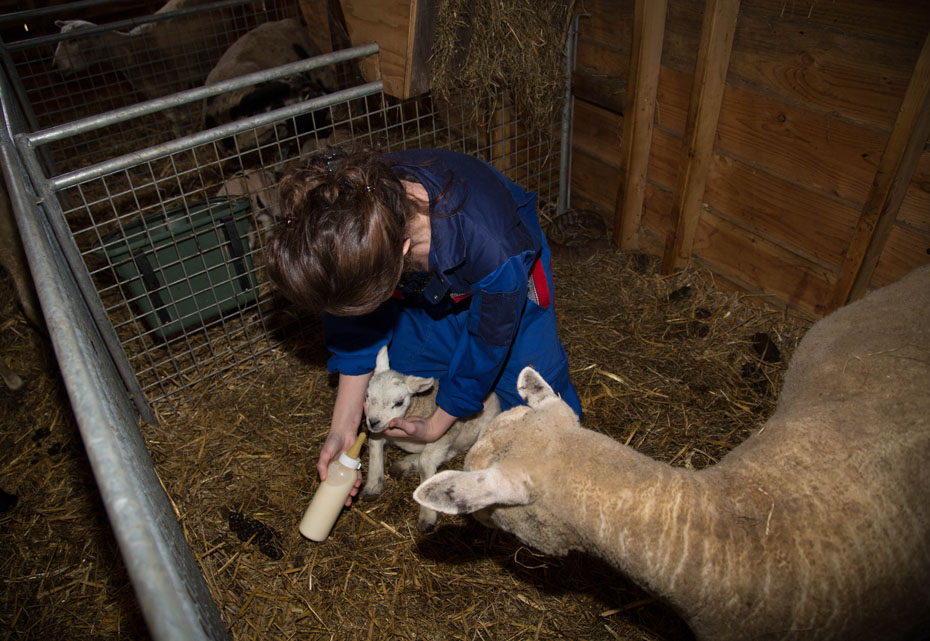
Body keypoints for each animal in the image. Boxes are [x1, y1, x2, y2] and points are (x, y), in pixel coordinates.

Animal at [363, 345, 501, 532]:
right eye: (367, 396)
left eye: (398, 402)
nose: (373, 422)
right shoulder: (382, 431)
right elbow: (373, 445)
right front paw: (372, 485)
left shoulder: (444, 434)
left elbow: (426, 462)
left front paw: (427, 517)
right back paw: (404, 465)